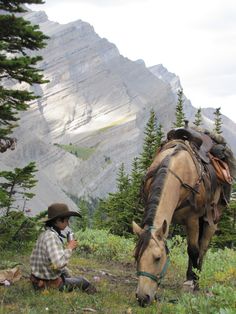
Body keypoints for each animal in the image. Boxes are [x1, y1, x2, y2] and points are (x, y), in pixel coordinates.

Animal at [133, 125, 234, 306]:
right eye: (136, 256)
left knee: (202, 248)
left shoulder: (191, 219)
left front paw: (192, 282)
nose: (143, 298)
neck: (174, 171)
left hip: (212, 218)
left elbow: (193, 250)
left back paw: (195, 279)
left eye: (158, 258)